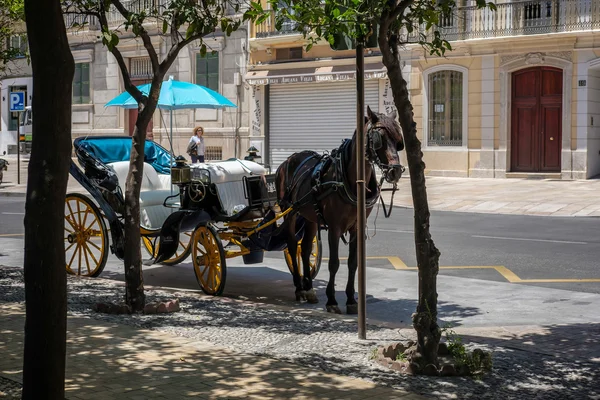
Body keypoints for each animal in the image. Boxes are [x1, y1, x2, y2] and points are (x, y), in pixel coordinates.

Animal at [276, 108, 404, 314]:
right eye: (379, 138)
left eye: (398, 140)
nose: (396, 171)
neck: (348, 179)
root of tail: (287, 160)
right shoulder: (335, 227)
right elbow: (334, 263)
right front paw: (331, 300)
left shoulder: (357, 227)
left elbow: (353, 263)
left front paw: (351, 299)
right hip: (289, 212)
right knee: (292, 244)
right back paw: (299, 288)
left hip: (311, 217)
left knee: (305, 249)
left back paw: (309, 289)